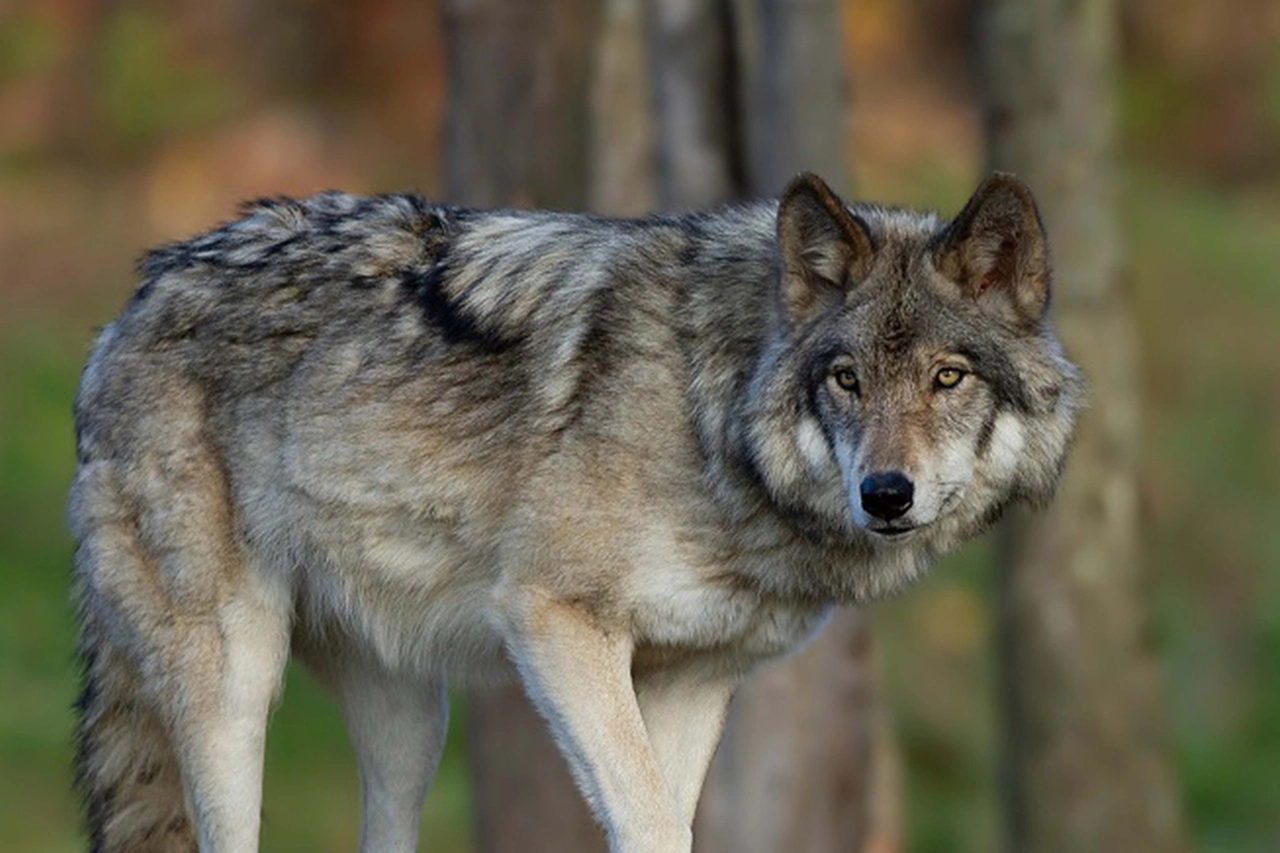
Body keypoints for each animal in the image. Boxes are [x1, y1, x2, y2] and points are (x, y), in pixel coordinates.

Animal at [67, 172, 1080, 850]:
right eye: (847, 379)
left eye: (947, 377)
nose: (885, 492)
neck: (709, 419)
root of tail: (132, 300)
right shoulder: (555, 621)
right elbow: (651, 822)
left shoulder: (692, 679)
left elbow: (666, 818)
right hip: (233, 690)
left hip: (411, 723)